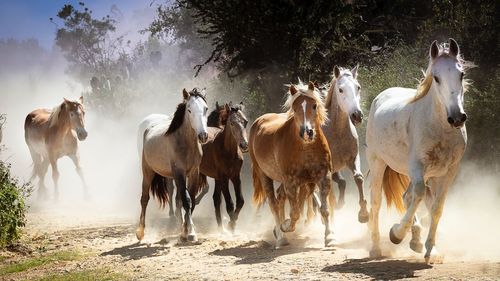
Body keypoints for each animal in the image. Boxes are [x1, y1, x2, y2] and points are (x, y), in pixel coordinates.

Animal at [136, 87, 208, 241]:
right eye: (189, 110)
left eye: (205, 108)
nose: (203, 136)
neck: (184, 143)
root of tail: (148, 128)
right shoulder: (179, 173)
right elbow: (186, 200)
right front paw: (190, 233)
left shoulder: (194, 173)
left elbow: (190, 200)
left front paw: (185, 231)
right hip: (147, 172)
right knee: (144, 198)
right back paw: (140, 232)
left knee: (174, 197)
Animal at [196, 101, 249, 231]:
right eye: (232, 123)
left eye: (245, 121)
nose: (244, 145)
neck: (228, 151)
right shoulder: (224, 178)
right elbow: (229, 203)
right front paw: (231, 225)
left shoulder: (236, 177)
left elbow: (240, 201)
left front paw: (231, 224)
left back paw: (220, 227)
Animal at [250, 80, 336, 246]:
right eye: (295, 108)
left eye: (314, 105)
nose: (307, 132)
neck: (306, 148)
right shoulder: (291, 182)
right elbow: (295, 212)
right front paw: (285, 226)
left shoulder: (323, 177)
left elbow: (324, 209)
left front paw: (329, 236)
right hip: (264, 175)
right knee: (274, 204)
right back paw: (281, 237)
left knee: (280, 198)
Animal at [322, 64, 370, 222]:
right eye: (341, 89)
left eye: (358, 87)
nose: (357, 116)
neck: (337, 134)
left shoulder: (353, 159)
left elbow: (358, 178)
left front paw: (363, 213)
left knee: (342, 182)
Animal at [366, 38, 470, 262]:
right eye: (436, 78)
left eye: (461, 74)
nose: (457, 118)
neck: (439, 128)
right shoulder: (417, 166)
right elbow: (420, 195)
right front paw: (396, 234)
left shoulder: (448, 172)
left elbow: (436, 207)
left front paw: (431, 250)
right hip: (378, 162)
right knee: (377, 202)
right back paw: (376, 248)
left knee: (409, 196)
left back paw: (416, 241)